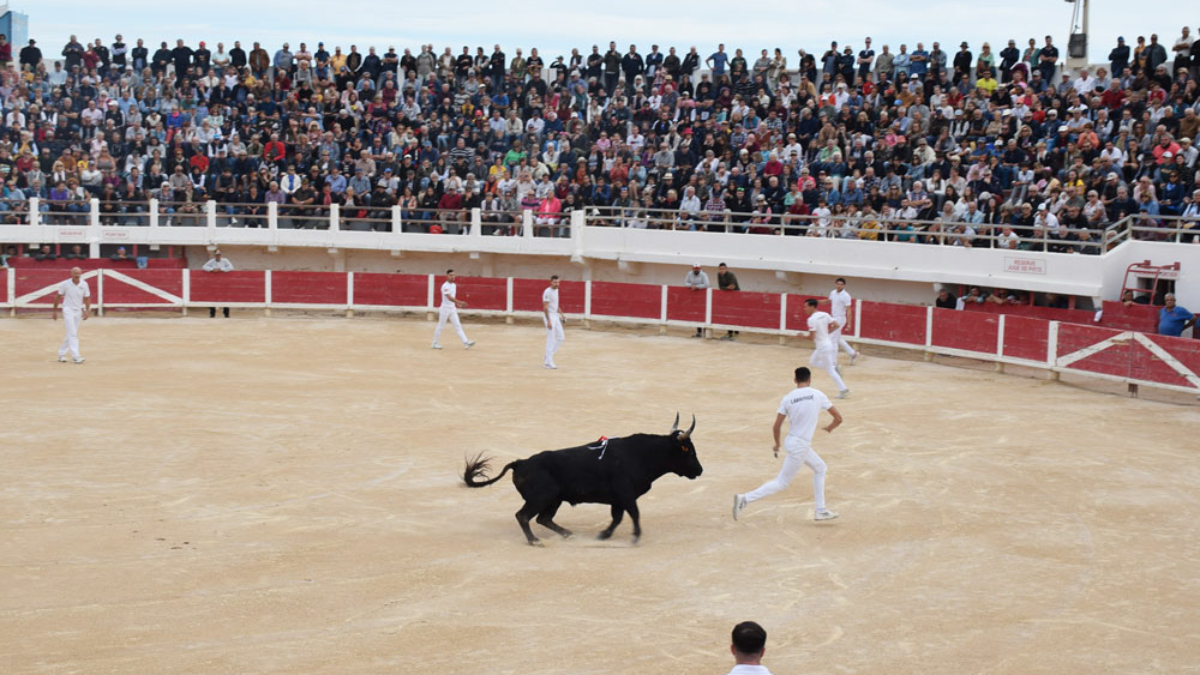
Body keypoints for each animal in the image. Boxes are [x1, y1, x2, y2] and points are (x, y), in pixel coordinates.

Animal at [460, 413, 700, 542]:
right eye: (688, 450)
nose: (700, 470)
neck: (642, 454)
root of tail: (521, 462)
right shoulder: (625, 494)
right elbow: (633, 514)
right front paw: (635, 536)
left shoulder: (618, 499)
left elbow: (618, 517)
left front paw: (604, 535)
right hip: (542, 497)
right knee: (523, 516)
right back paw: (535, 541)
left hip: (554, 499)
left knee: (543, 518)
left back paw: (568, 534)